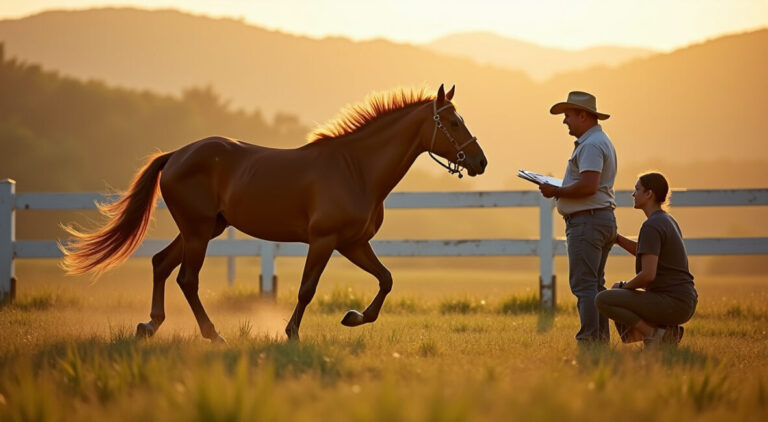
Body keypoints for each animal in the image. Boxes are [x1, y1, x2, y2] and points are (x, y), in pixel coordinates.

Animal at [60, 84, 487, 341]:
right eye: (452, 122)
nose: (480, 161)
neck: (356, 168)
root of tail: (176, 155)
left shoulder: (353, 243)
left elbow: (386, 279)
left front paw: (353, 317)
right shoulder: (325, 240)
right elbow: (307, 289)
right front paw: (292, 333)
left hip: (204, 229)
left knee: (161, 264)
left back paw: (150, 324)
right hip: (198, 232)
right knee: (186, 279)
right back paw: (212, 334)